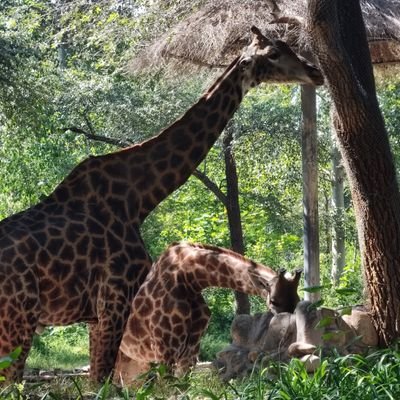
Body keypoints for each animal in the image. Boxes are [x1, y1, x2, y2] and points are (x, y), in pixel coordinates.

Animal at [112, 241, 304, 384]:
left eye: (298, 299)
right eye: (273, 301)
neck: (189, 278)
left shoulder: (191, 348)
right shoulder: (165, 348)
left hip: (137, 362)